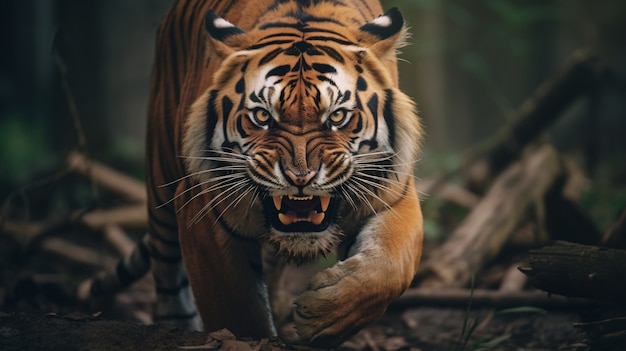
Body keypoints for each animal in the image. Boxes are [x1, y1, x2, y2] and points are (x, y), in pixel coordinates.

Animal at [77, 0, 420, 348]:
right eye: (262, 116)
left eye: (337, 116)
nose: (300, 177)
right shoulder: (203, 208)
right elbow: (237, 309)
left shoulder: (394, 191)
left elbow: (391, 267)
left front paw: (324, 315)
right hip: (161, 184)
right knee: (168, 277)